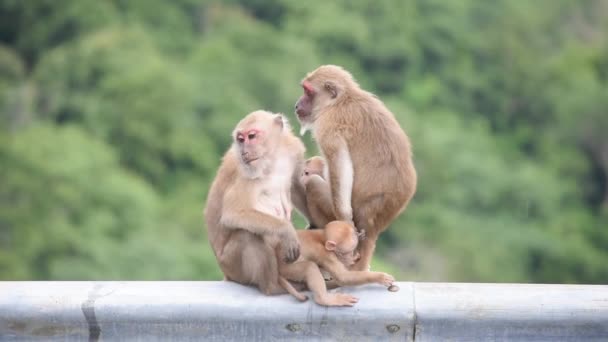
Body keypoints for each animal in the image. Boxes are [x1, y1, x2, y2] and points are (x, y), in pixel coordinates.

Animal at [294, 65, 418, 272]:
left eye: (308, 92)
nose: (297, 105)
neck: (342, 100)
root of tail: (372, 227)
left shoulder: (328, 125)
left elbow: (340, 167)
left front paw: (345, 221)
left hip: (333, 212)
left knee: (314, 184)